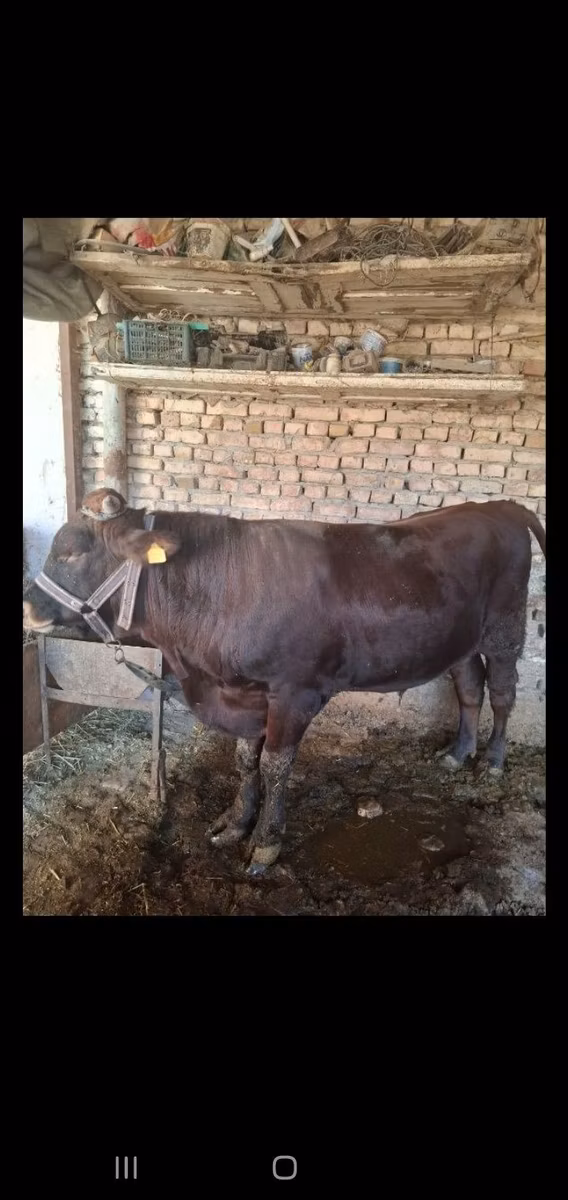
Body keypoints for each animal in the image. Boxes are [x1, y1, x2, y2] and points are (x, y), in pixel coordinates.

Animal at [23, 489, 546, 875]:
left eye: (71, 552)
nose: (28, 606)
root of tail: (497, 506)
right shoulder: (247, 693)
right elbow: (243, 759)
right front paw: (235, 822)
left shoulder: (297, 692)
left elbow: (275, 765)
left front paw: (265, 844)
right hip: (460, 640)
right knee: (469, 687)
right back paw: (459, 753)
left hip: (505, 628)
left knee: (503, 692)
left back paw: (493, 761)